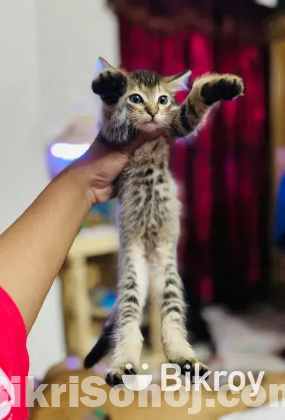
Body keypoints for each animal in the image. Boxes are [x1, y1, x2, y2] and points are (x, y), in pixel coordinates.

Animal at [83, 57, 243, 386]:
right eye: (135, 98)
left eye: (163, 100)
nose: (153, 112)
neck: (147, 141)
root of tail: (150, 267)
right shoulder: (115, 137)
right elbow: (114, 117)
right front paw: (110, 87)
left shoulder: (175, 127)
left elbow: (192, 107)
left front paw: (221, 86)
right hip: (131, 277)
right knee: (129, 325)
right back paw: (122, 366)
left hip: (170, 278)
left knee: (172, 322)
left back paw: (186, 359)